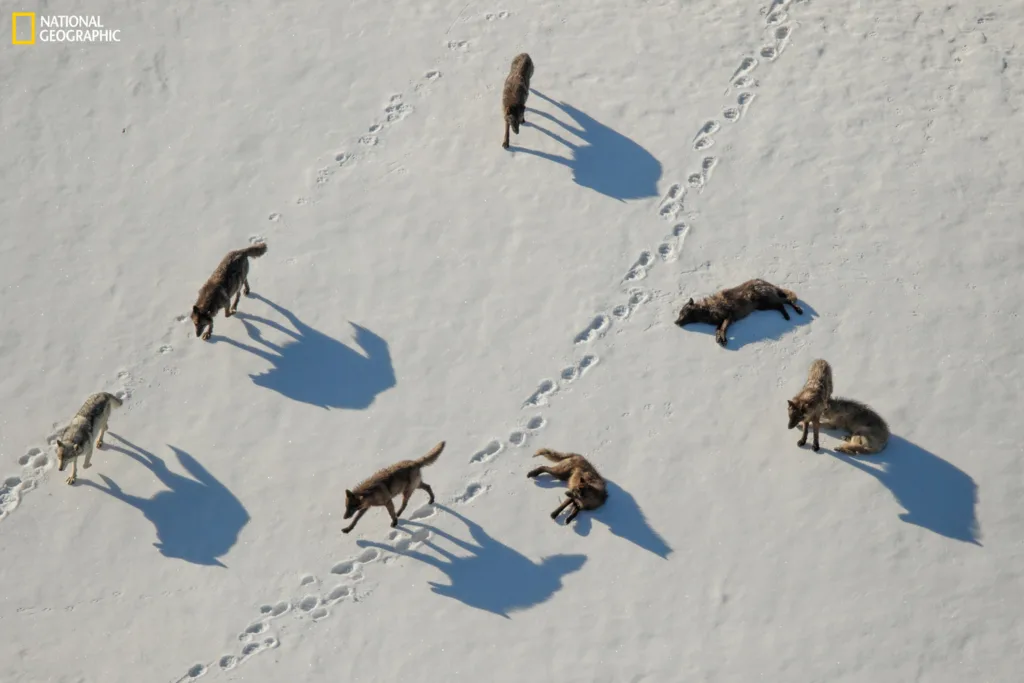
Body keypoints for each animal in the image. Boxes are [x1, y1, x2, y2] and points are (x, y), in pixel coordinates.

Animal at [675, 278, 803, 347]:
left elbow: (723, 328)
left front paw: (723, 339)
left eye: (682, 313)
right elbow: (718, 329)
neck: (706, 309)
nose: (675, 322)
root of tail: (765, 282)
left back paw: (798, 310)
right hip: (763, 306)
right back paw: (787, 316)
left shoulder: (729, 316)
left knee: (787, 300)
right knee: (780, 305)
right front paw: (719, 338)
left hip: (766, 300)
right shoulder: (720, 321)